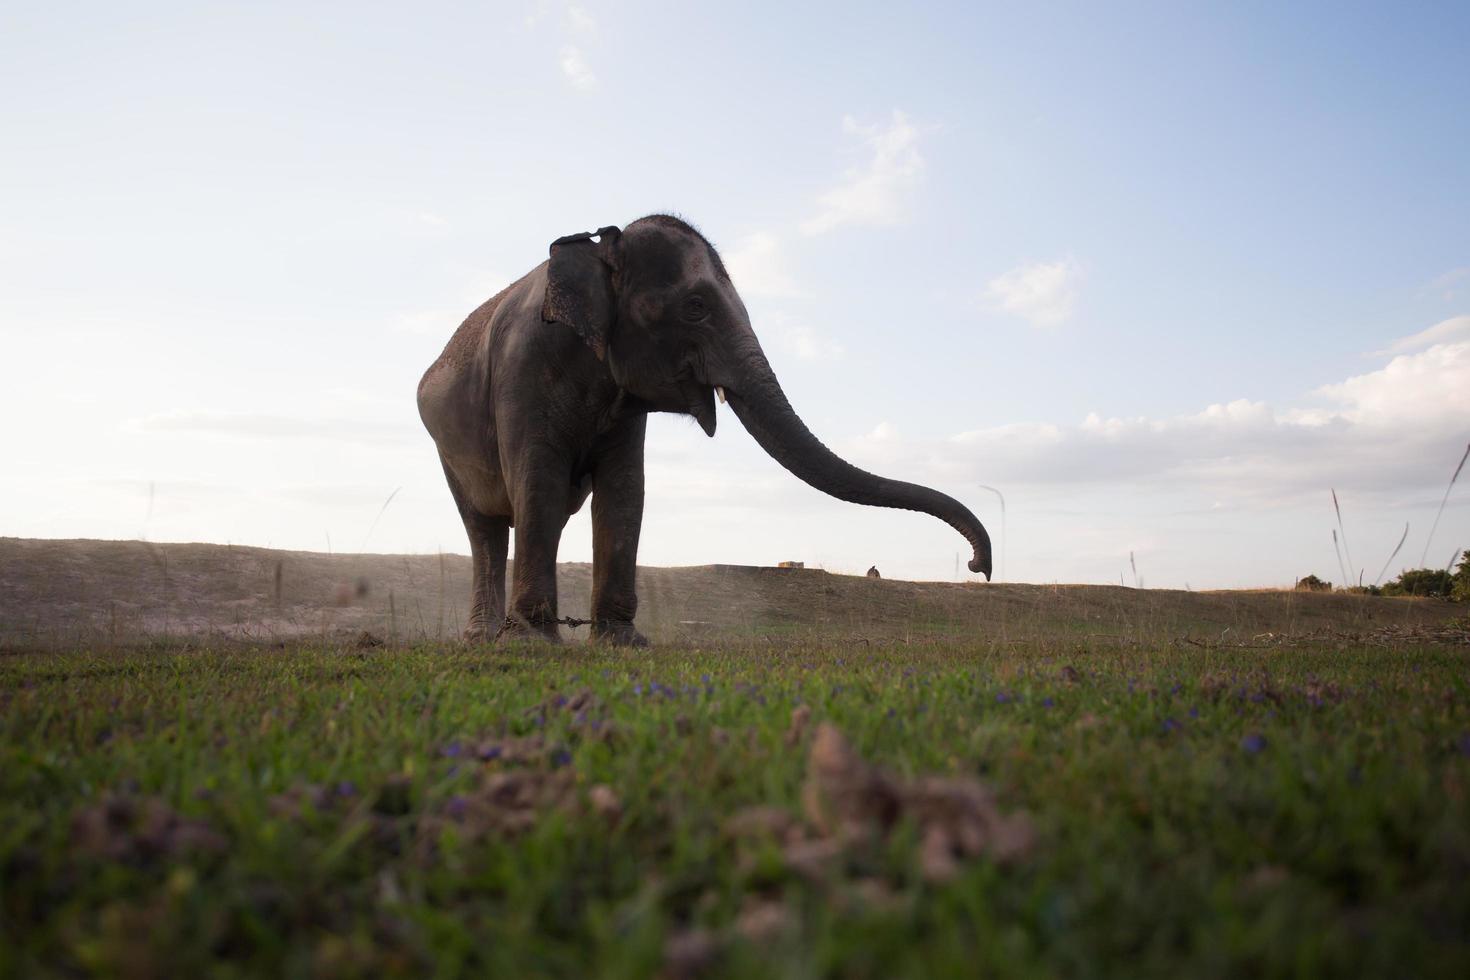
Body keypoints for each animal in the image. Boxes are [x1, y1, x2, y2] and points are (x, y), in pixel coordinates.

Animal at [414, 213, 993, 643]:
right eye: (695, 308)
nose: (978, 565)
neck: (602, 253)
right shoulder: (523, 371)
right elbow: (540, 481)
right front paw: (534, 644)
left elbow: (625, 490)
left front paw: (622, 642)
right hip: (445, 447)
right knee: (486, 527)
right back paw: (485, 639)